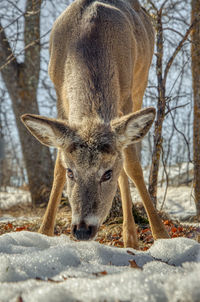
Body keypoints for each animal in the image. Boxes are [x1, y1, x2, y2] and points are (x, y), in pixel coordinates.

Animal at [21, 0, 169, 248]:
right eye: (72, 172)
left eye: (107, 173)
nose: (82, 229)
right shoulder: (60, 95)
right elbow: (57, 166)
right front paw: (43, 232)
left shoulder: (126, 95)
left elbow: (132, 165)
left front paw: (162, 235)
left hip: (142, 79)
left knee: (130, 157)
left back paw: (131, 237)